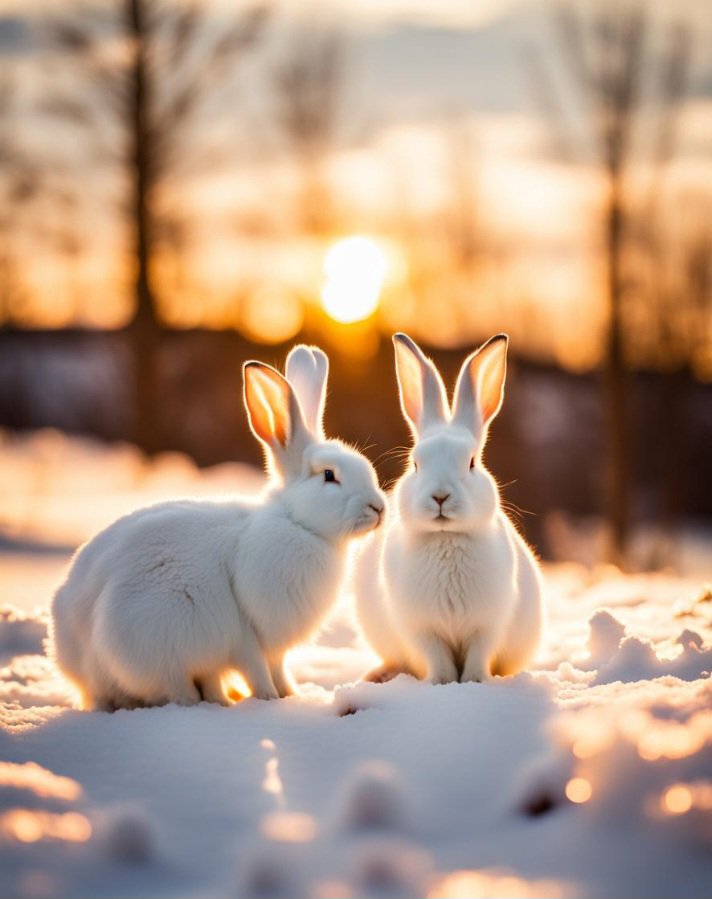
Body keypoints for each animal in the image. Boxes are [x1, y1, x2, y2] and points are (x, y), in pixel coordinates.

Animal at [50, 345, 386, 711]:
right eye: (329, 475)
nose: (379, 507)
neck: (297, 523)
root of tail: (83, 674)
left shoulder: (274, 646)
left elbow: (278, 668)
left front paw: (291, 695)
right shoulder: (245, 632)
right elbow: (256, 668)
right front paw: (268, 698)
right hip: (165, 635)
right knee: (177, 687)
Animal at [354, 333, 543, 685]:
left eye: (471, 463)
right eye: (415, 464)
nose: (440, 496)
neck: (446, 538)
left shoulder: (487, 626)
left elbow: (478, 656)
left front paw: (474, 683)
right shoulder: (422, 630)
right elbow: (437, 658)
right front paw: (441, 684)